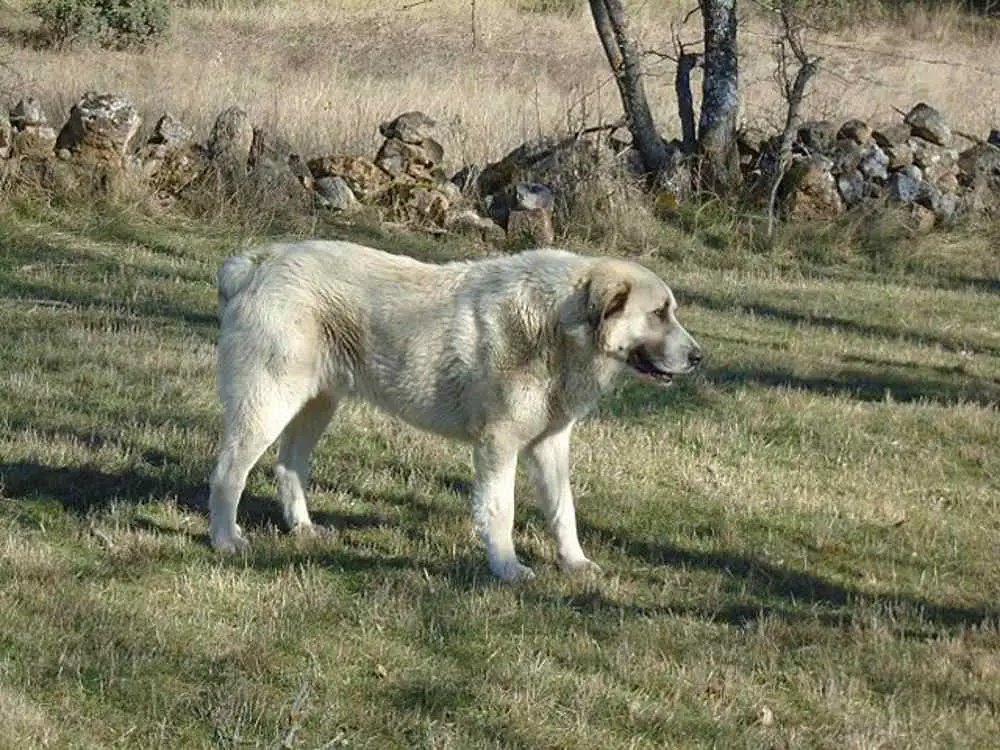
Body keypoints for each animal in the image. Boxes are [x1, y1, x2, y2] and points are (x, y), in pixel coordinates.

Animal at [207, 241, 700, 580]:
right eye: (659, 313)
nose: (698, 357)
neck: (556, 326)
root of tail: (256, 264)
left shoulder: (550, 445)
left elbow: (564, 511)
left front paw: (574, 562)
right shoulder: (498, 446)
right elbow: (501, 511)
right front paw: (506, 569)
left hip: (316, 405)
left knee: (288, 467)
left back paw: (304, 529)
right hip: (267, 405)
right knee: (229, 473)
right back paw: (225, 540)